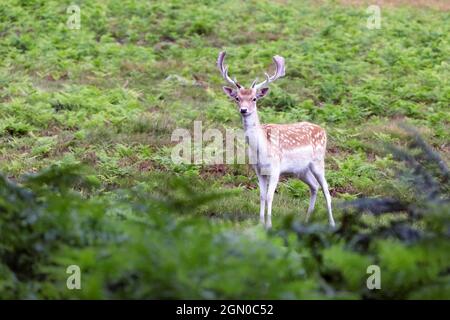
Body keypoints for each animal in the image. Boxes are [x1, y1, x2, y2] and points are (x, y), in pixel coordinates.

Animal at [216, 51, 336, 229]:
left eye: (254, 98)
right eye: (237, 98)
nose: (243, 110)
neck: (261, 149)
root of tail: (323, 130)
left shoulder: (275, 168)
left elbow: (270, 196)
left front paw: (269, 224)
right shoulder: (258, 170)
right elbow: (261, 196)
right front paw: (260, 223)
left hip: (318, 161)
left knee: (327, 191)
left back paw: (332, 224)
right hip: (301, 170)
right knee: (314, 186)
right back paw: (307, 220)